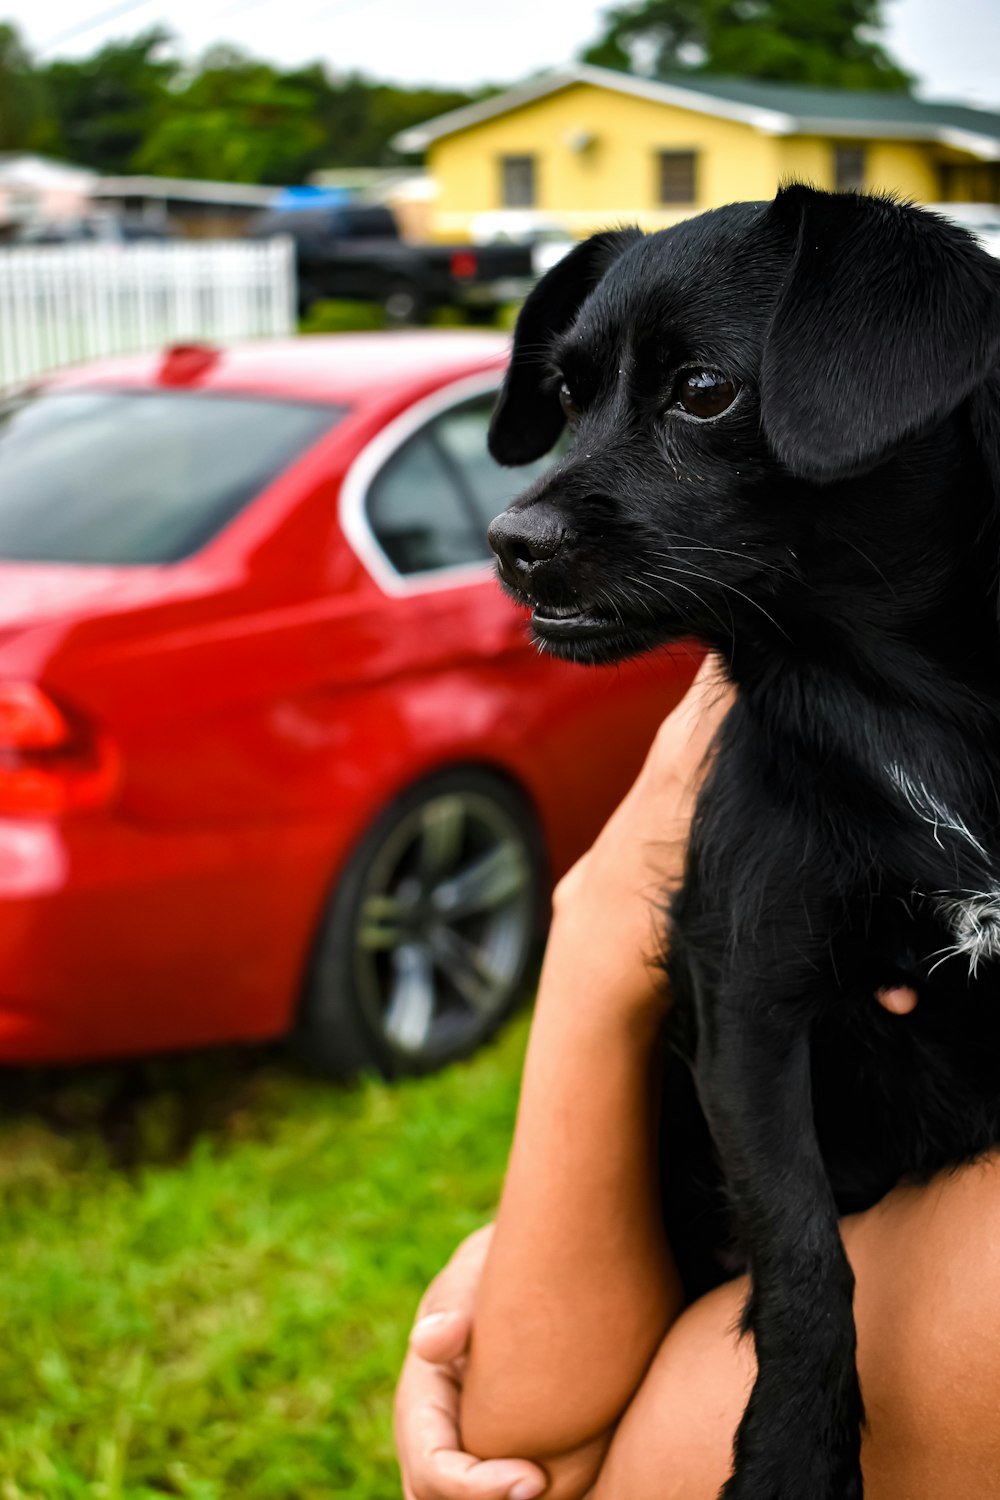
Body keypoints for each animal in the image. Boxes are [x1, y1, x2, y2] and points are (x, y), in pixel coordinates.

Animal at [485, 187, 1000, 1500]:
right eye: (563, 396)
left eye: (705, 391)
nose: (509, 539)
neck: (901, 716)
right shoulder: (750, 1011)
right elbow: (802, 1246)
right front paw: (791, 1452)